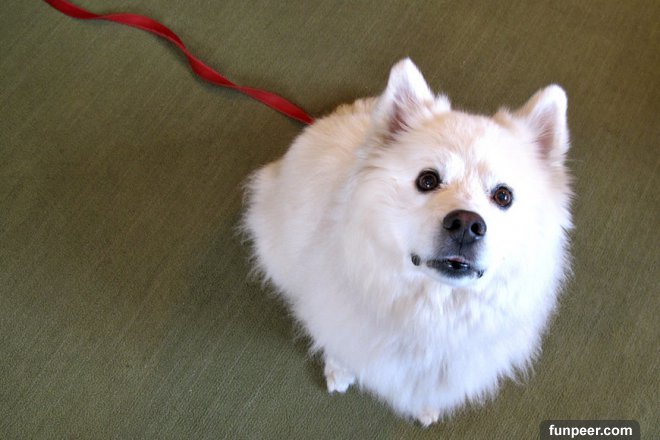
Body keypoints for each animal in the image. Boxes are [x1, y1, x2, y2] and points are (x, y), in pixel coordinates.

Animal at [244, 59, 572, 425]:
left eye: (503, 196)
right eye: (427, 180)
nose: (466, 224)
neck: (431, 315)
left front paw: (426, 407)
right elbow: (339, 345)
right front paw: (339, 370)